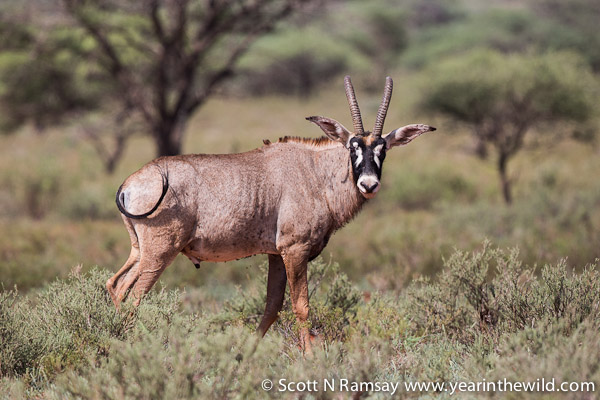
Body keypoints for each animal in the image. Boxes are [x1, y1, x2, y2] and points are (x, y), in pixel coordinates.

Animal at [109, 75, 436, 350]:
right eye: (352, 147)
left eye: (383, 149)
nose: (368, 184)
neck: (317, 173)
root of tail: (129, 184)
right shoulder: (295, 249)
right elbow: (301, 305)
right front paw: (310, 358)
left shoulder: (276, 255)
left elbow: (271, 308)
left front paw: (246, 353)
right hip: (160, 252)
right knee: (133, 295)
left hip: (140, 250)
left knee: (115, 285)